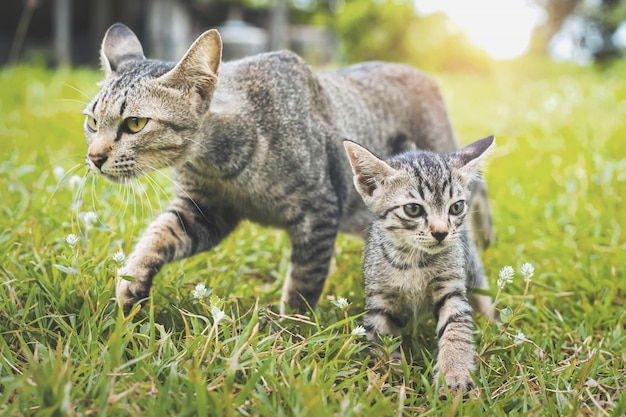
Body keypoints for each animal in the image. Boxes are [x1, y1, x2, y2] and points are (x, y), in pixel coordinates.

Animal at [84, 22, 492, 314]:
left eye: (135, 124)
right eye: (92, 121)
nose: (94, 157)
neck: (223, 167)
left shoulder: (318, 213)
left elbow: (301, 288)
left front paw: (290, 333)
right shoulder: (205, 210)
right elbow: (157, 236)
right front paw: (130, 283)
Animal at [342, 136, 492, 394]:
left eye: (456, 207)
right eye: (413, 209)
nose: (441, 233)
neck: (412, 260)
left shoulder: (451, 290)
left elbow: (456, 330)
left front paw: (454, 375)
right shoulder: (379, 300)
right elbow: (381, 338)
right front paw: (387, 376)